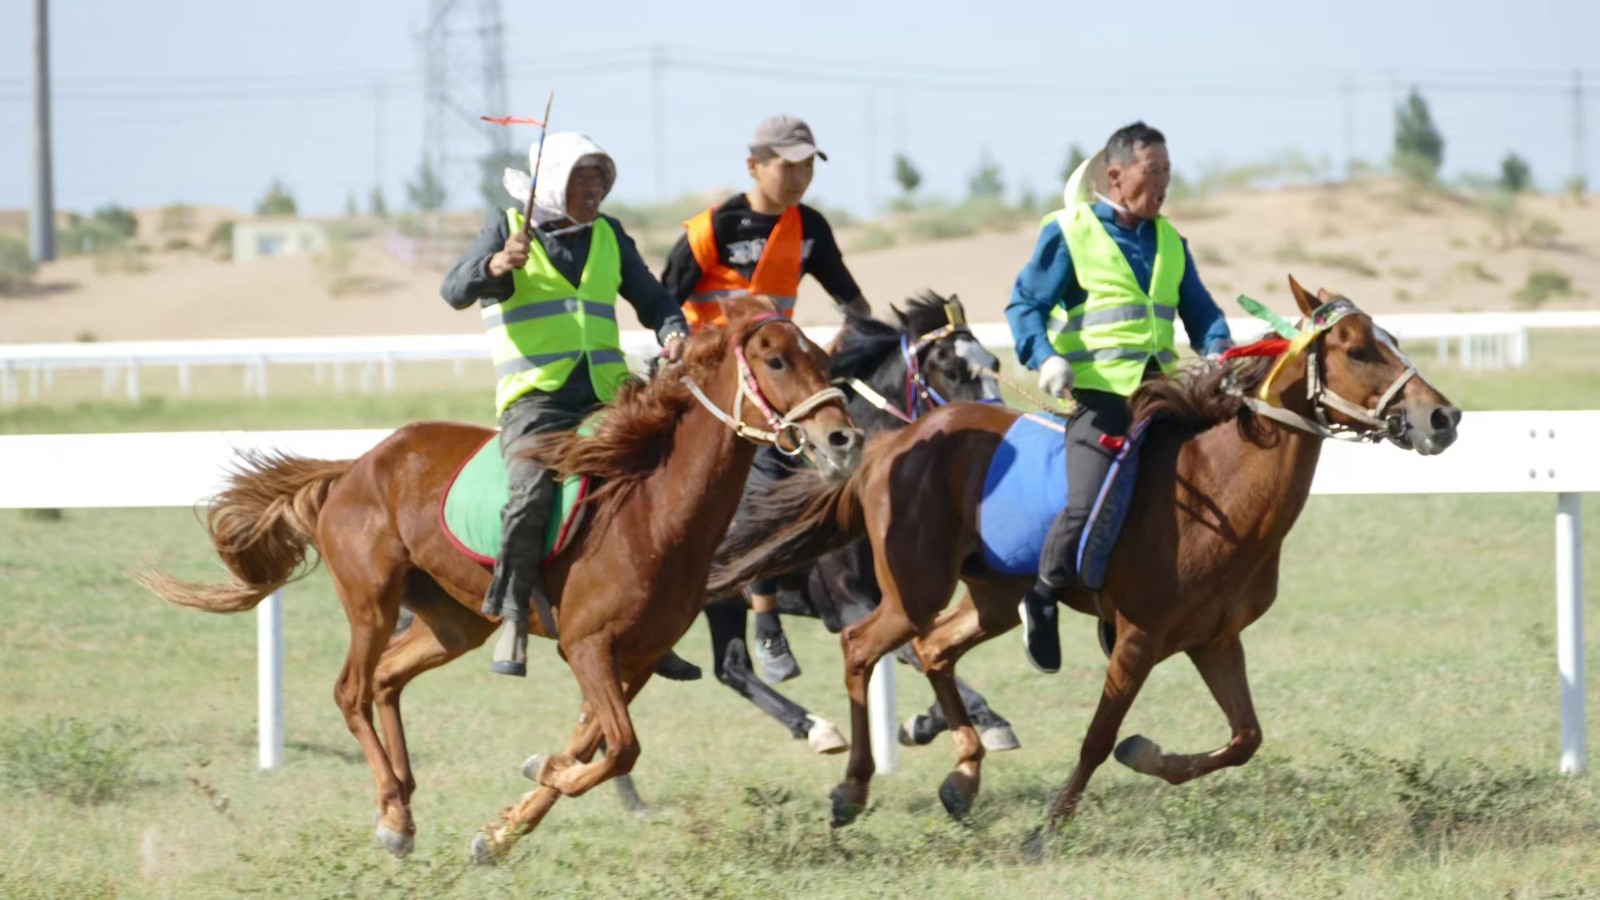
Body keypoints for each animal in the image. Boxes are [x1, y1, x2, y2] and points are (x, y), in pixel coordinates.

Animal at [137, 294, 864, 851]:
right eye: (775, 359)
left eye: (826, 362)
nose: (844, 440)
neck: (652, 509)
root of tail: (355, 466)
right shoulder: (588, 647)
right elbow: (617, 748)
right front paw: (541, 778)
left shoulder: (634, 658)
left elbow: (594, 744)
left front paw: (504, 828)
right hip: (372, 600)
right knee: (352, 689)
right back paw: (391, 811)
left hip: (455, 623)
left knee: (387, 679)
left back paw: (403, 805)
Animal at [707, 293, 1017, 749]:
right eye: (951, 371)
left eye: (993, 363)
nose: (1001, 430)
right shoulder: (851, 603)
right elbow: (915, 648)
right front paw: (983, 718)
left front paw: (924, 722)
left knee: (729, 667)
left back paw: (813, 725)